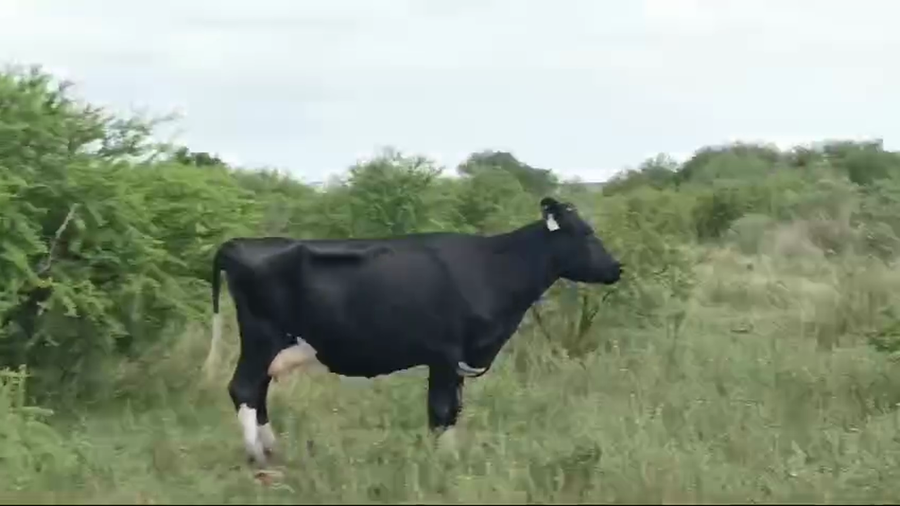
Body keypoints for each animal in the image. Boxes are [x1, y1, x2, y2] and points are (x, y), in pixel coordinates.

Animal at [208, 196, 623, 467]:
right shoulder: (444, 354)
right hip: (261, 338)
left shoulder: (457, 361)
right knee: (242, 388)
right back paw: (257, 457)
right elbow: (440, 410)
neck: (494, 268)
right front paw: (442, 463)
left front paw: (451, 456)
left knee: (257, 391)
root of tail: (239, 243)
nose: (617, 268)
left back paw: (272, 449)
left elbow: (453, 410)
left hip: (269, 346)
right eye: (586, 234)